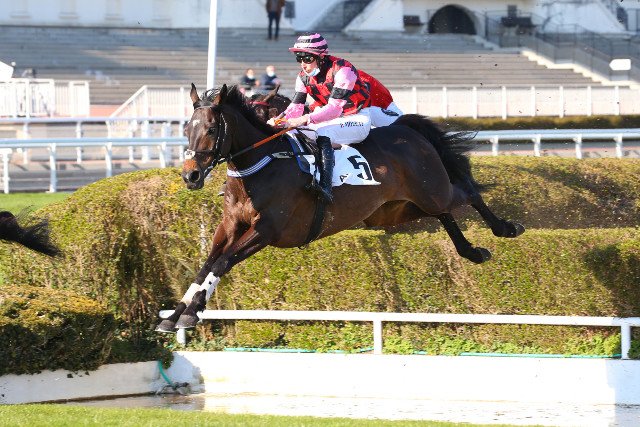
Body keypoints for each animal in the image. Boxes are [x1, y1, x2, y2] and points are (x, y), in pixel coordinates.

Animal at [156, 83, 524, 332]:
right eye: (186, 128)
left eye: (211, 128)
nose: (190, 175)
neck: (261, 163)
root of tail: (407, 130)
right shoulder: (230, 226)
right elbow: (206, 265)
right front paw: (175, 316)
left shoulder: (269, 229)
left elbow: (223, 262)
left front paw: (191, 312)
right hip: (393, 210)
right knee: (445, 215)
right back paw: (472, 251)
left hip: (432, 189)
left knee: (467, 193)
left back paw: (505, 228)